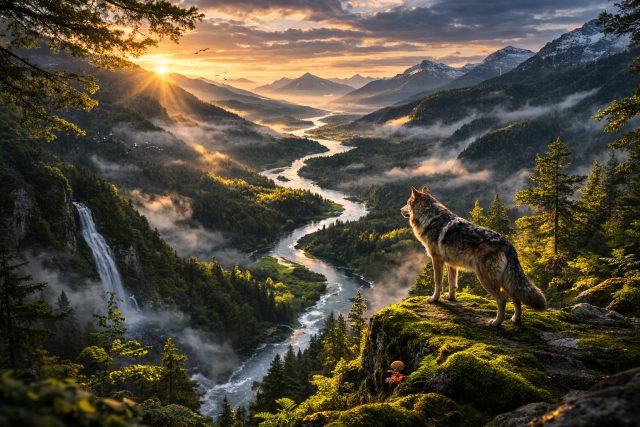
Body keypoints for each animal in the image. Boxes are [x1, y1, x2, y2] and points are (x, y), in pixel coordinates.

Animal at [401, 187, 546, 326]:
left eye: (407, 203)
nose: (400, 210)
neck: (431, 218)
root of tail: (508, 244)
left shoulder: (437, 260)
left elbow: (438, 282)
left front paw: (434, 299)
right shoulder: (451, 264)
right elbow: (452, 283)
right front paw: (451, 298)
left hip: (485, 279)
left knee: (502, 299)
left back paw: (496, 322)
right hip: (505, 281)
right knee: (516, 298)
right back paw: (516, 319)